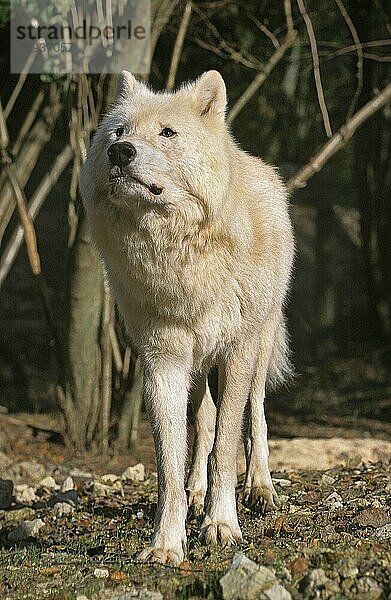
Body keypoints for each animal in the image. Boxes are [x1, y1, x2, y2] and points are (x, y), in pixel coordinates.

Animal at [79, 68, 294, 564]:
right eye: (118, 132)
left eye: (167, 133)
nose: (121, 151)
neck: (179, 258)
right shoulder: (164, 362)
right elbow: (170, 463)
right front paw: (166, 542)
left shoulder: (235, 353)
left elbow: (227, 446)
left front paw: (221, 524)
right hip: (197, 370)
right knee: (204, 422)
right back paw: (197, 492)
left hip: (258, 346)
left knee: (254, 414)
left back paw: (260, 488)